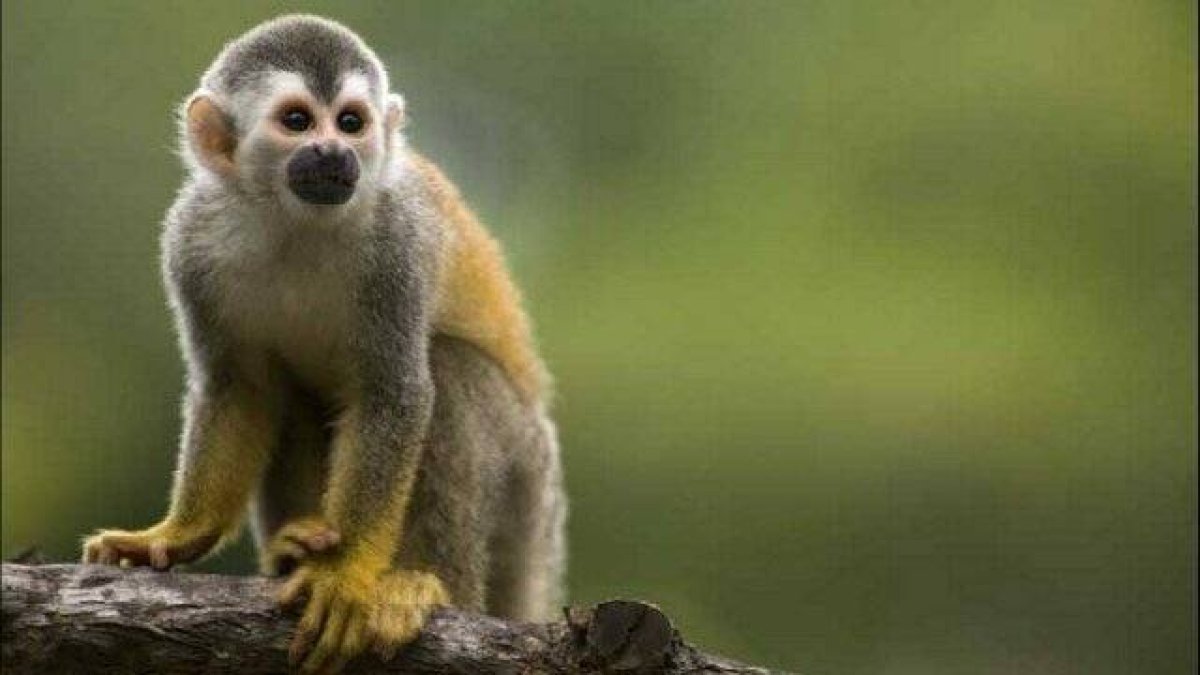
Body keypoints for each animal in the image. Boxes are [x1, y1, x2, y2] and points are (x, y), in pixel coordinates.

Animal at [80, 15, 566, 673]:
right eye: (297, 121)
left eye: (351, 122)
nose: (335, 152)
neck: (294, 219)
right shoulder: (189, 240)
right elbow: (238, 386)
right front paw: (177, 535)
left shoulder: (396, 242)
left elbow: (394, 392)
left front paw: (344, 574)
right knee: (287, 392)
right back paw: (292, 551)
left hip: (525, 479)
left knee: (450, 371)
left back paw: (426, 587)